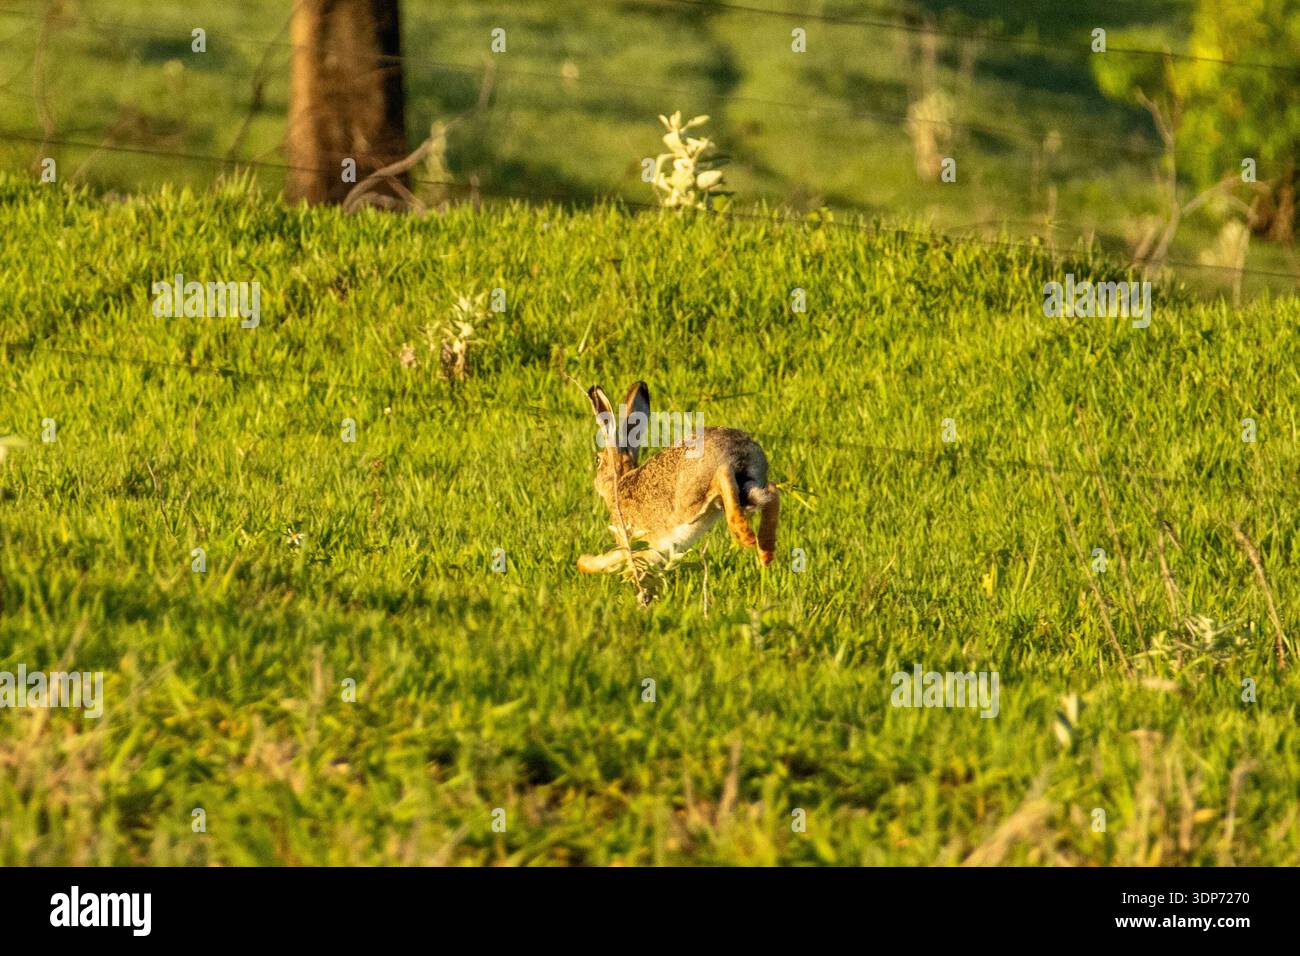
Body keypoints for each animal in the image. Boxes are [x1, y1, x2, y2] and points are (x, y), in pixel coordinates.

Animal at [577, 381, 779, 574]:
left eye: (597, 460)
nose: (595, 483)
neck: (618, 483)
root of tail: (738, 447)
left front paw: (584, 562)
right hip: (749, 486)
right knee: (771, 491)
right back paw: (765, 552)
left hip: (691, 500)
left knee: (721, 479)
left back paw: (745, 536)